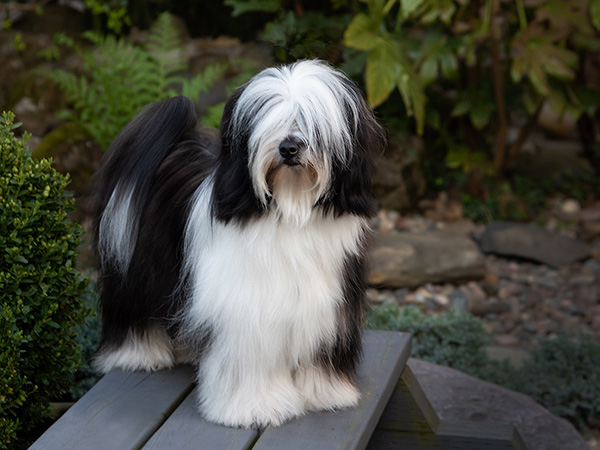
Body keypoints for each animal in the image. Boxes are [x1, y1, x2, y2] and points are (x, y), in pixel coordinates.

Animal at [94, 59, 384, 428]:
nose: (289, 147)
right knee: (134, 308)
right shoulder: (248, 311)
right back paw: (137, 354)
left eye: (311, 123)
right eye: (272, 122)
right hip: (137, 270)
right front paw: (255, 406)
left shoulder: (328, 304)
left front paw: (324, 392)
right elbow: (250, 361)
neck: (291, 210)